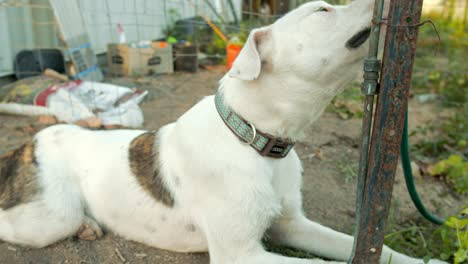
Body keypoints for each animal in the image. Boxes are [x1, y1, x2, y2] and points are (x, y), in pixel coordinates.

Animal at [0, 0, 446, 264]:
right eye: (322, 10)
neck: (253, 138)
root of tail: (30, 142)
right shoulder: (242, 254)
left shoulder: (292, 225)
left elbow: (378, 250)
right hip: (50, 217)